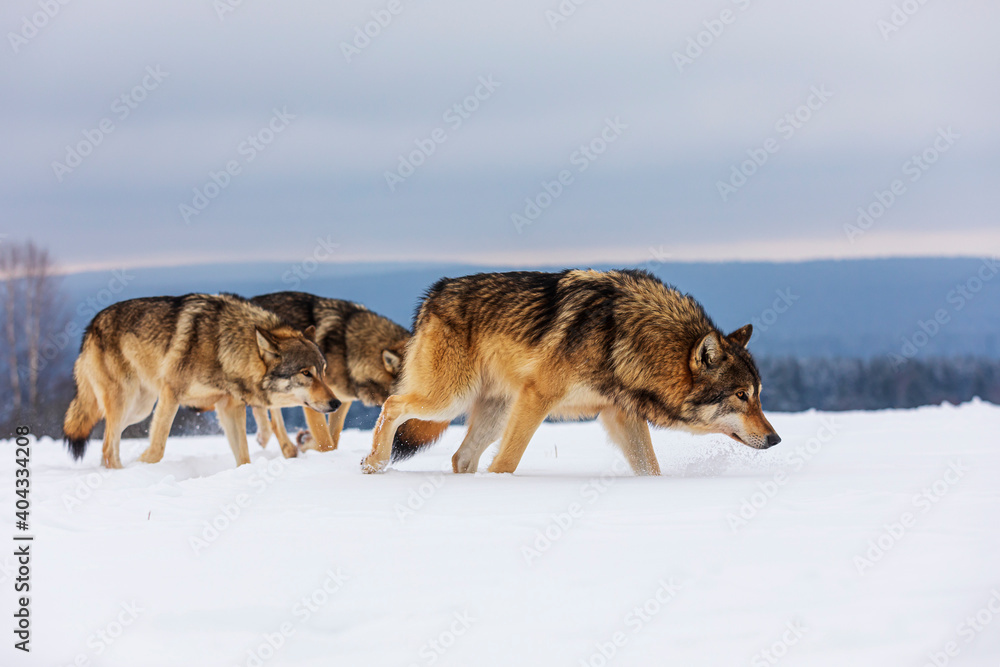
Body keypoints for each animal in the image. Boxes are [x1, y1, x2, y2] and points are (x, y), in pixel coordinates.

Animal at [65, 292, 344, 470]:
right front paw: (143, 466)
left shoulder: (229, 406)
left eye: (323, 371)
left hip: (139, 410)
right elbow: (157, 450)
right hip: (128, 403)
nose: (337, 403)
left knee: (107, 446)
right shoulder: (171, 394)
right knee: (108, 448)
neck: (224, 347)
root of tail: (91, 325)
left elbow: (243, 457)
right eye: (306, 373)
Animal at [248, 292, 408, 460]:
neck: (347, 351)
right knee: (274, 422)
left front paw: (306, 441)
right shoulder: (313, 400)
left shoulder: (340, 400)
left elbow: (333, 438)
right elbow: (325, 442)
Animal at [362, 270, 780, 474]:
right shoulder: (537, 397)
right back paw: (374, 464)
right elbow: (507, 462)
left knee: (460, 458)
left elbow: (651, 468)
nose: (775, 439)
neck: (628, 337)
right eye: (741, 395)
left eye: (758, 395)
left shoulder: (620, 413)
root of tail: (433, 293)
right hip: (449, 400)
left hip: (494, 413)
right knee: (392, 404)